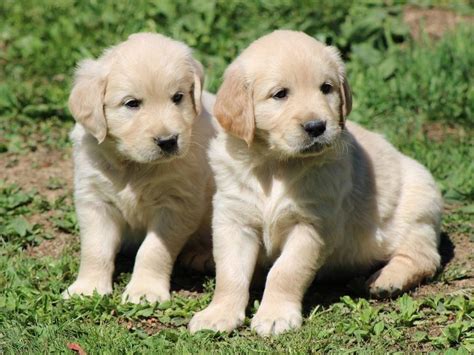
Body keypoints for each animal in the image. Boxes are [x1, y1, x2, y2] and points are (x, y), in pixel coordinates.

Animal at [64, 33, 216, 304]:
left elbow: (153, 250)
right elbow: (95, 249)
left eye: (178, 97)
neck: (134, 166)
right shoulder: (95, 200)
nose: (168, 141)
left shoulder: (176, 204)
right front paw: (87, 288)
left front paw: (145, 291)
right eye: (132, 104)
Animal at [190, 29, 444, 336]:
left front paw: (275, 316)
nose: (317, 127)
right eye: (280, 94)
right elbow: (230, 273)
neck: (276, 164)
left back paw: (387, 279)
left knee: (423, 256)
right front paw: (218, 314)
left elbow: (285, 271)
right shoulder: (234, 219)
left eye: (326, 88)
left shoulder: (312, 225)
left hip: (418, 207)